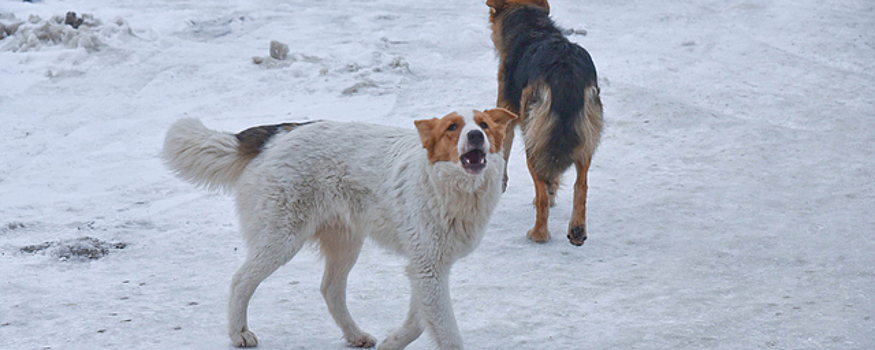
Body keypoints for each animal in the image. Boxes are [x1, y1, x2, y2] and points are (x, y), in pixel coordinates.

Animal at [161, 108, 516, 348]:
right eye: (453, 127)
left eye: (484, 125)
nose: (476, 136)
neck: (447, 186)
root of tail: (280, 133)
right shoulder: (428, 267)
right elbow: (446, 331)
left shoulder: (427, 267)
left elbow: (419, 320)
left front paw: (392, 342)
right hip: (281, 238)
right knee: (240, 281)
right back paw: (238, 334)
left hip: (345, 243)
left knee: (330, 289)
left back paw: (355, 335)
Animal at [486, 0, 604, 246]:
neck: (532, 26)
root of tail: (565, 71)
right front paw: (553, 191)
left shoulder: (507, 112)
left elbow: (504, 152)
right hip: (585, 138)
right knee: (581, 185)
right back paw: (577, 230)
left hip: (532, 140)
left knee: (541, 189)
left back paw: (538, 234)